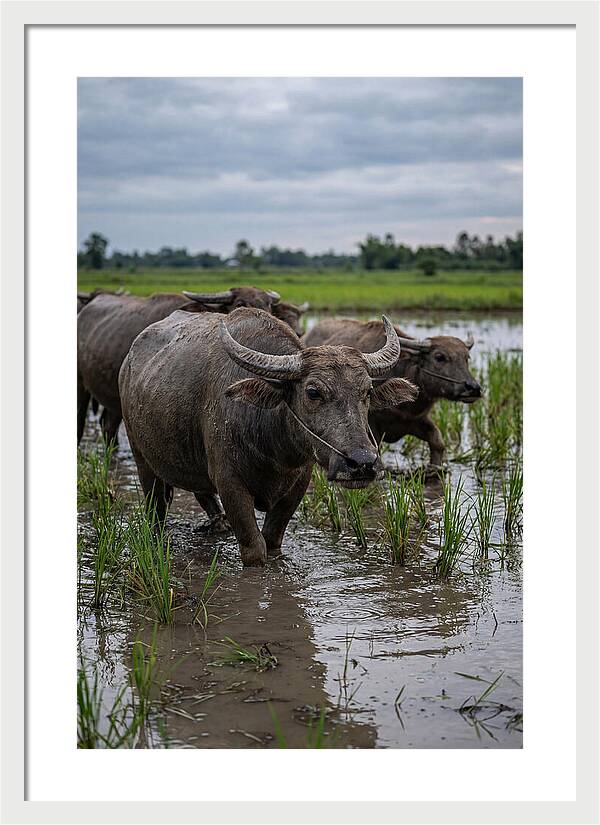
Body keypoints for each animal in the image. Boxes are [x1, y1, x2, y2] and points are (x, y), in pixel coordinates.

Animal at [119, 308, 417, 566]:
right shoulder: (230, 483)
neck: (273, 447)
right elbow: (255, 550)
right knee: (156, 507)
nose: (362, 463)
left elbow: (272, 541)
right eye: (313, 392)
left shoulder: (298, 485)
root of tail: (128, 362)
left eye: (367, 391)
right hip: (141, 456)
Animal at [304, 318, 481, 469]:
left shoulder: (416, 420)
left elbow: (437, 441)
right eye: (440, 357)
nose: (473, 388)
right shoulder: (371, 427)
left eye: (466, 358)